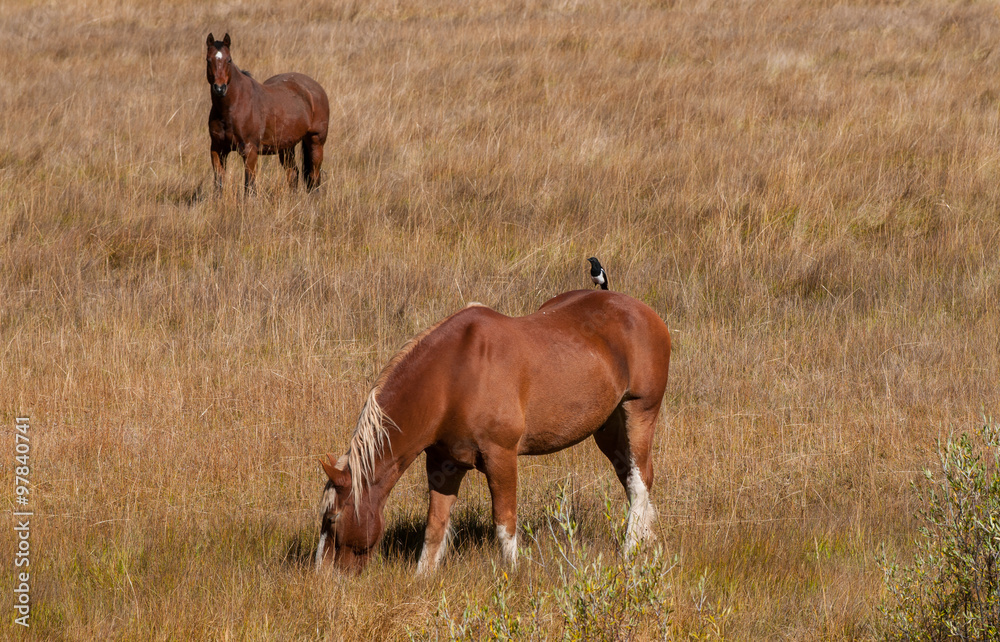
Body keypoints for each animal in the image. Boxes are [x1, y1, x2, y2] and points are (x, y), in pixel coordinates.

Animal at [205, 33, 330, 194]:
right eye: (208, 60)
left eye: (229, 60)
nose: (220, 88)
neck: (232, 108)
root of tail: (315, 88)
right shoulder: (217, 149)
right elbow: (219, 184)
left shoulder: (250, 151)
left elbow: (249, 186)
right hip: (286, 147)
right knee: (293, 174)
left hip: (316, 141)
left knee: (314, 177)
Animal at [315, 289, 672, 574]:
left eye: (331, 519)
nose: (322, 577)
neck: (453, 378)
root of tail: (645, 312)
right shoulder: (443, 464)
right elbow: (435, 525)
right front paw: (422, 577)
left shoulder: (501, 456)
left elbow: (504, 520)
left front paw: (513, 573)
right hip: (608, 428)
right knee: (635, 476)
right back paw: (645, 540)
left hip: (639, 412)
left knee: (639, 481)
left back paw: (629, 550)